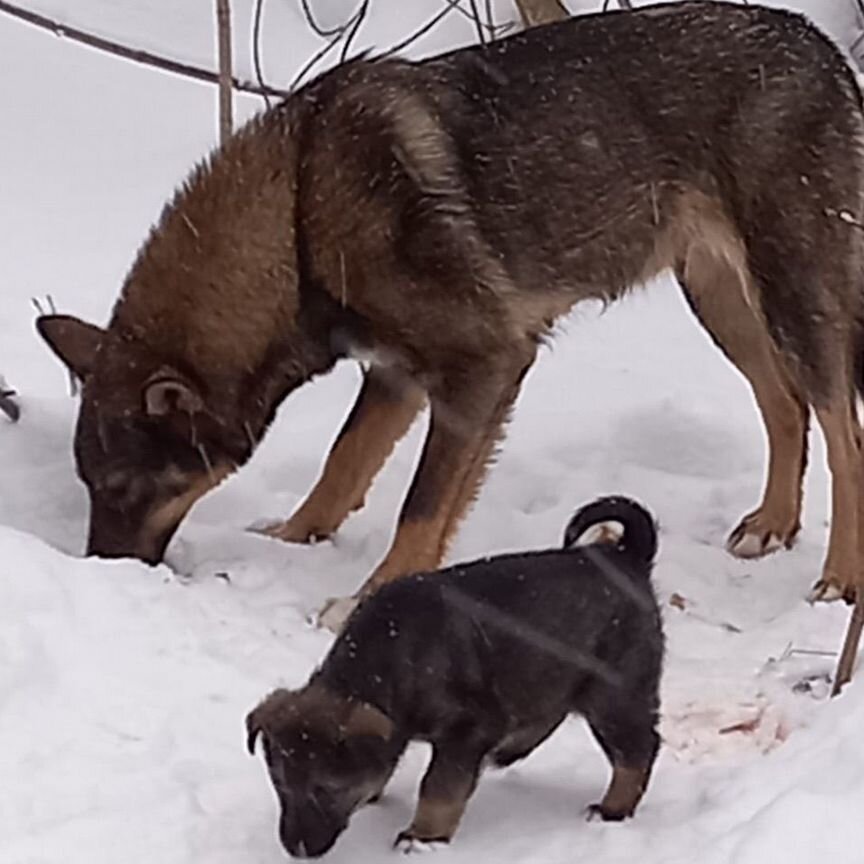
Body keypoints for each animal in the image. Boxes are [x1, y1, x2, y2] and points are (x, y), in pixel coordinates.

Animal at [37, 0, 864, 624]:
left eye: (125, 490)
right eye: (89, 486)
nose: (101, 571)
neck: (300, 213)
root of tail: (824, 49)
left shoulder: (483, 367)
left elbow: (422, 505)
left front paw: (370, 597)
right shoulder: (398, 376)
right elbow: (343, 463)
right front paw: (295, 538)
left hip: (793, 294)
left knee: (841, 427)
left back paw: (841, 575)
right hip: (722, 298)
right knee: (784, 403)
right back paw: (774, 523)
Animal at [246, 496, 664, 852]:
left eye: (327, 789)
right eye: (281, 784)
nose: (296, 849)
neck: (385, 663)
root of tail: (629, 557)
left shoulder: (465, 730)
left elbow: (439, 787)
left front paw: (423, 837)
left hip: (614, 693)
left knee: (637, 750)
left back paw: (612, 808)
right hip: (549, 673)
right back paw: (509, 750)